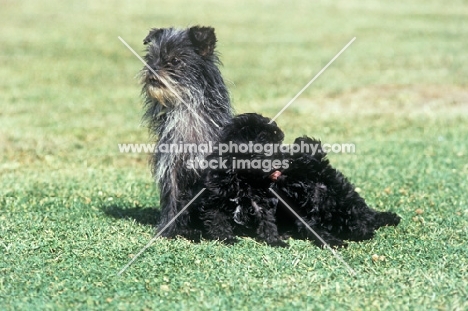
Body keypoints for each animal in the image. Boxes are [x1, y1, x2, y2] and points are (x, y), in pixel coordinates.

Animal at [140, 26, 233, 238]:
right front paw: (168, 230)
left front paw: (220, 232)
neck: (186, 111)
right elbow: (172, 199)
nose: (152, 69)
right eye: (151, 58)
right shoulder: (171, 167)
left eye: (175, 61)